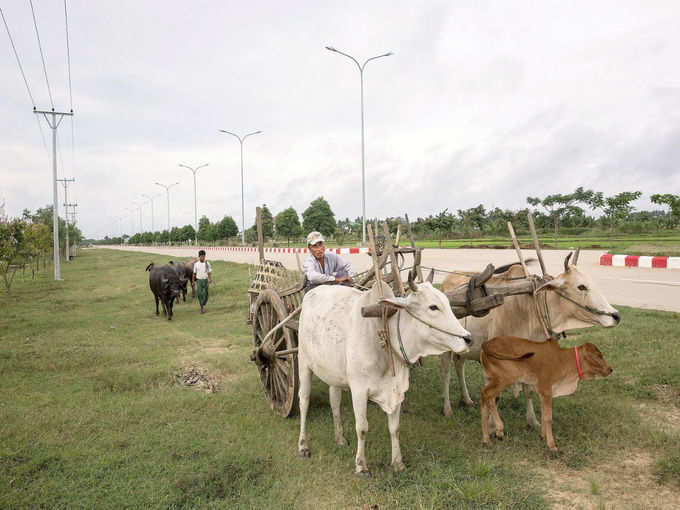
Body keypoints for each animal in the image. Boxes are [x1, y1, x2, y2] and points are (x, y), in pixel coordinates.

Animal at [478, 336, 612, 452]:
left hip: (490, 378)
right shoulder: (546, 390)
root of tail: (487, 343)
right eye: (598, 356)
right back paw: (499, 430)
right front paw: (551, 445)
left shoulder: (543, 393)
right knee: (488, 395)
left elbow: (543, 415)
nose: (610, 369)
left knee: (483, 396)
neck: (564, 360)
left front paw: (543, 436)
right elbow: (548, 418)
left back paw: (486, 440)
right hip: (505, 379)